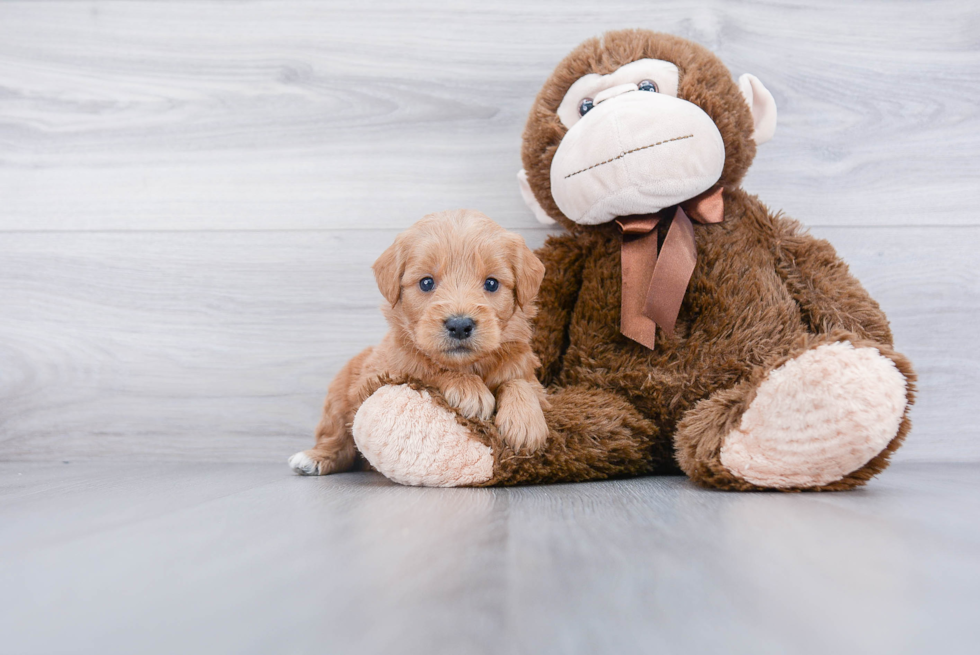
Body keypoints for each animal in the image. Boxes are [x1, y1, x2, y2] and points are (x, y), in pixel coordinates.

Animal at [290, 209, 552, 476]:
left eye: (491, 283)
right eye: (426, 282)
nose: (460, 325)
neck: (469, 365)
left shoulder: (532, 380)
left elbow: (519, 382)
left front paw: (524, 423)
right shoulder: (383, 374)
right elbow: (427, 369)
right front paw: (468, 388)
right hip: (338, 394)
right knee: (337, 440)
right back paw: (313, 458)